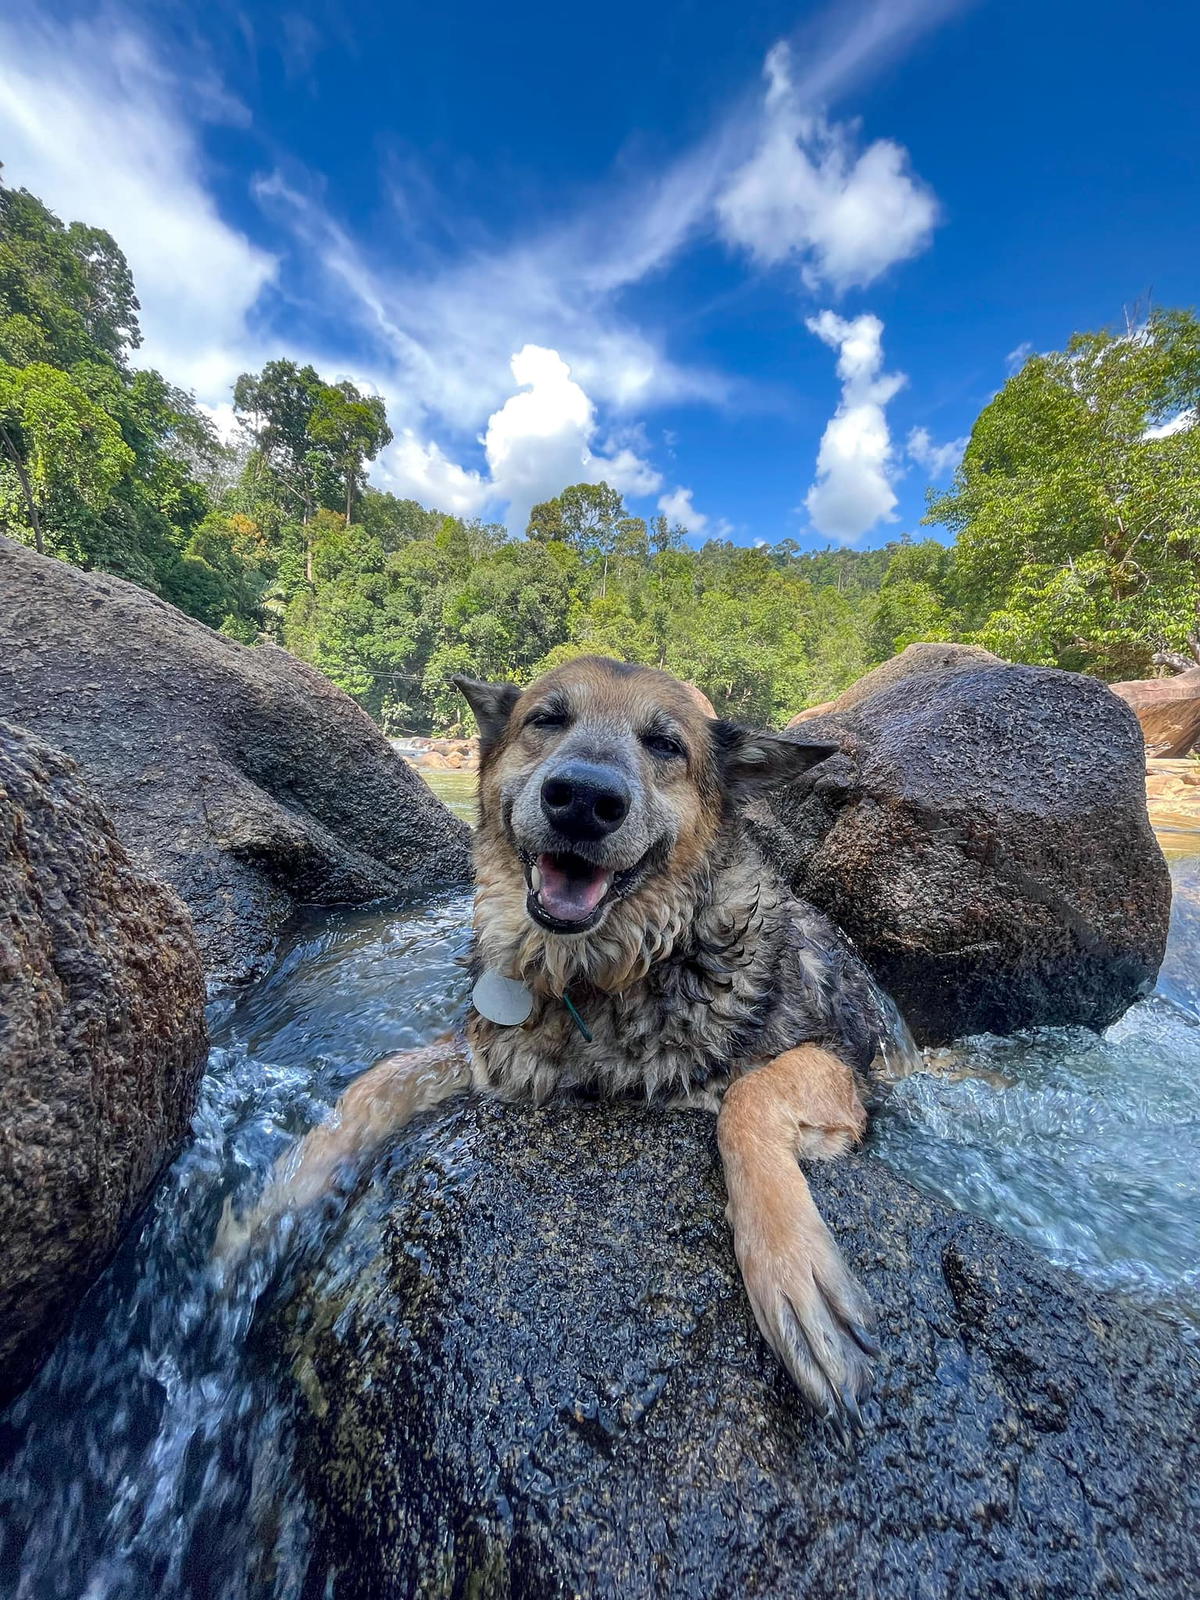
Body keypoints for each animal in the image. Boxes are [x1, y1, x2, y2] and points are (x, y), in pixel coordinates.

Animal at [220, 656, 889, 1433]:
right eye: (547, 718)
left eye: (665, 745)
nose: (584, 800)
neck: (602, 974)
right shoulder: (495, 1050)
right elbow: (377, 1082)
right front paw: (275, 1199)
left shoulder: (843, 1064)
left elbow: (750, 1096)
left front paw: (791, 1268)